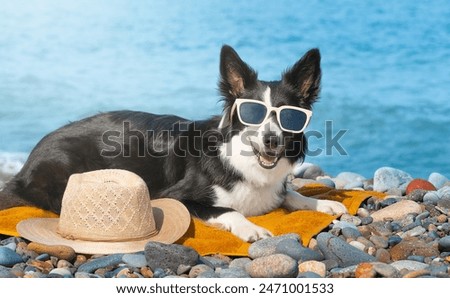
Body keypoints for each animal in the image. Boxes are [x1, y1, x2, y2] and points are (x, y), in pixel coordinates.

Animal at [0, 46, 346, 242]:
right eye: (252, 112)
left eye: (289, 116)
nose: (271, 139)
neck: (243, 160)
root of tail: (26, 164)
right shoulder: (176, 197)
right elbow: (229, 209)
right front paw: (251, 228)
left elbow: (290, 194)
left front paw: (322, 203)